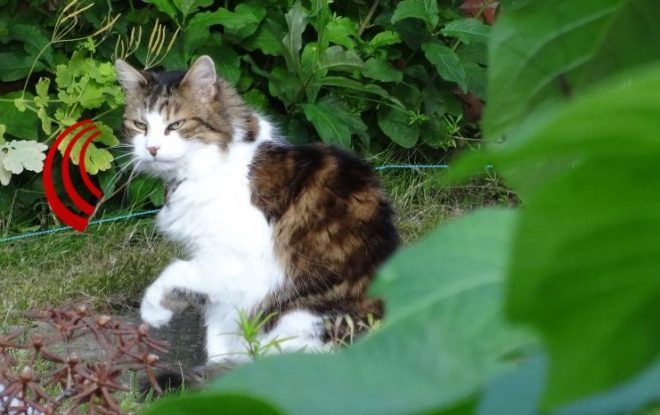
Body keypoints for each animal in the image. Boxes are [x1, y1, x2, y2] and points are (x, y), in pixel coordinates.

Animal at [116, 54, 400, 368]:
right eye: (140, 125)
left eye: (175, 125)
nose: (152, 148)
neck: (210, 165)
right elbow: (219, 326)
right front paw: (220, 365)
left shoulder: (234, 259)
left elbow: (176, 271)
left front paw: (154, 310)